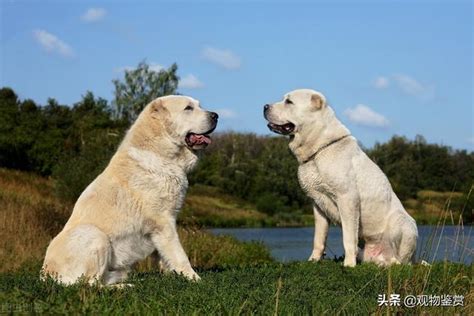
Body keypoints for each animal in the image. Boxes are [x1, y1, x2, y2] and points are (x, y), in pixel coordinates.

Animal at [42, 94, 218, 284]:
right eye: (188, 108)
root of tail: (45, 274)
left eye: (199, 105)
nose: (215, 115)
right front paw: (194, 278)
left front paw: (171, 275)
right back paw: (124, 286)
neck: (159, 151)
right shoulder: (163, 222)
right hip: (95, 235)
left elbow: (163, 256)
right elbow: (179, 254)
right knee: (90, 284)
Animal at [264, 89, 416, 266]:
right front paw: (313, 260)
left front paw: (349, 264)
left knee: (402, 262)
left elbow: (348, 237)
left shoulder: (348, 199)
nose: (265, 106)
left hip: (403, 223)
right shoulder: (318, 205)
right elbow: (319, 238)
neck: (319, 149)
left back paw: (389, 263)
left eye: (289, 102)